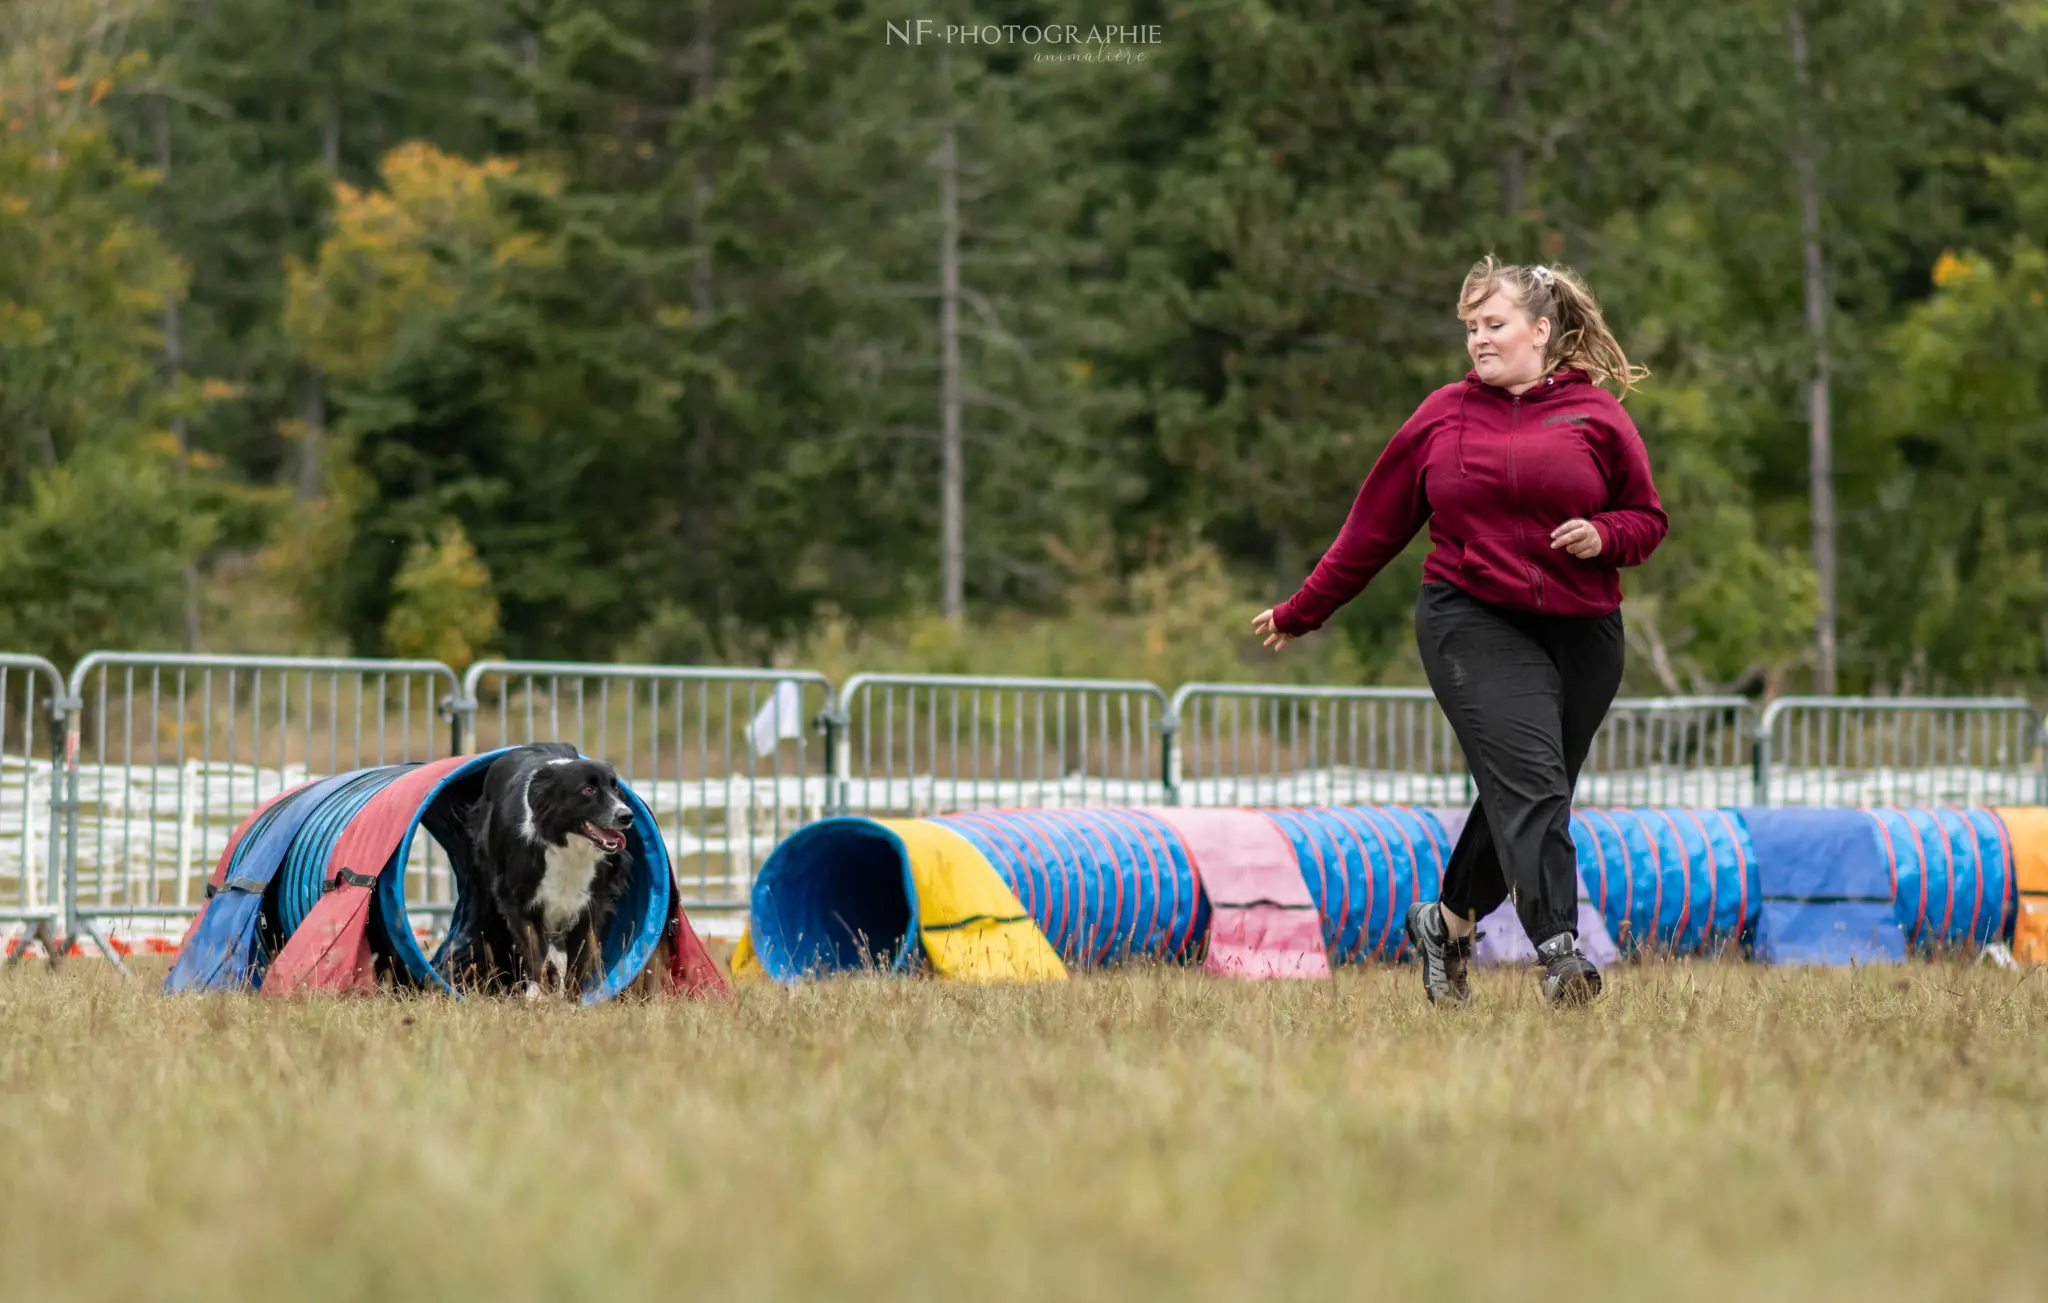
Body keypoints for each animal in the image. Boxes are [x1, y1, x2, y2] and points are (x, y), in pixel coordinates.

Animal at [462, 741, 630, 995]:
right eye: (588, 790)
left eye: (616, 787)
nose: (627, 815)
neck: (566, 844)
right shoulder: (518, 902)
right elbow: (537, 957)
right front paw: (540, 994)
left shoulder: (589, 904)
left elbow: (579, 960)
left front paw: (571, 998)